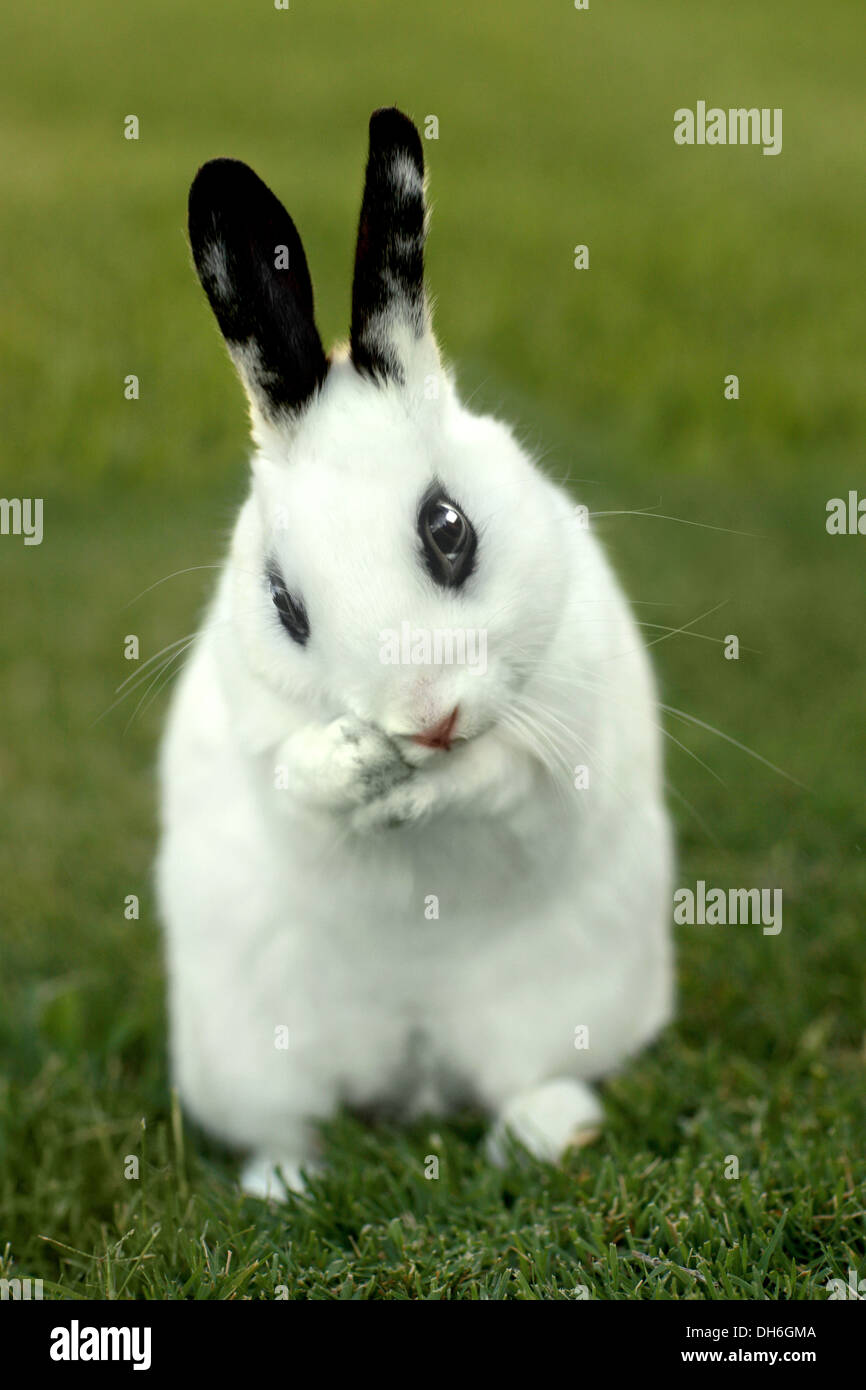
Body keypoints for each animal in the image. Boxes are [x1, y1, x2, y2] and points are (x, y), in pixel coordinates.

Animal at [157, 107, 674, 1200]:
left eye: (449, 528)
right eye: (283, 603)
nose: (424, 717)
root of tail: (417, 1062)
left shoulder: (559, 739)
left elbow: (505, 781)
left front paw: (418, 790)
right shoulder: (257, 738)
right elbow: (298, 790)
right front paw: (353, 768)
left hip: (560, 1006)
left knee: (524, 1080)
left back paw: (550, 1134)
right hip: (252, 1052)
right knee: (294, 1122)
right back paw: (284, 1186)